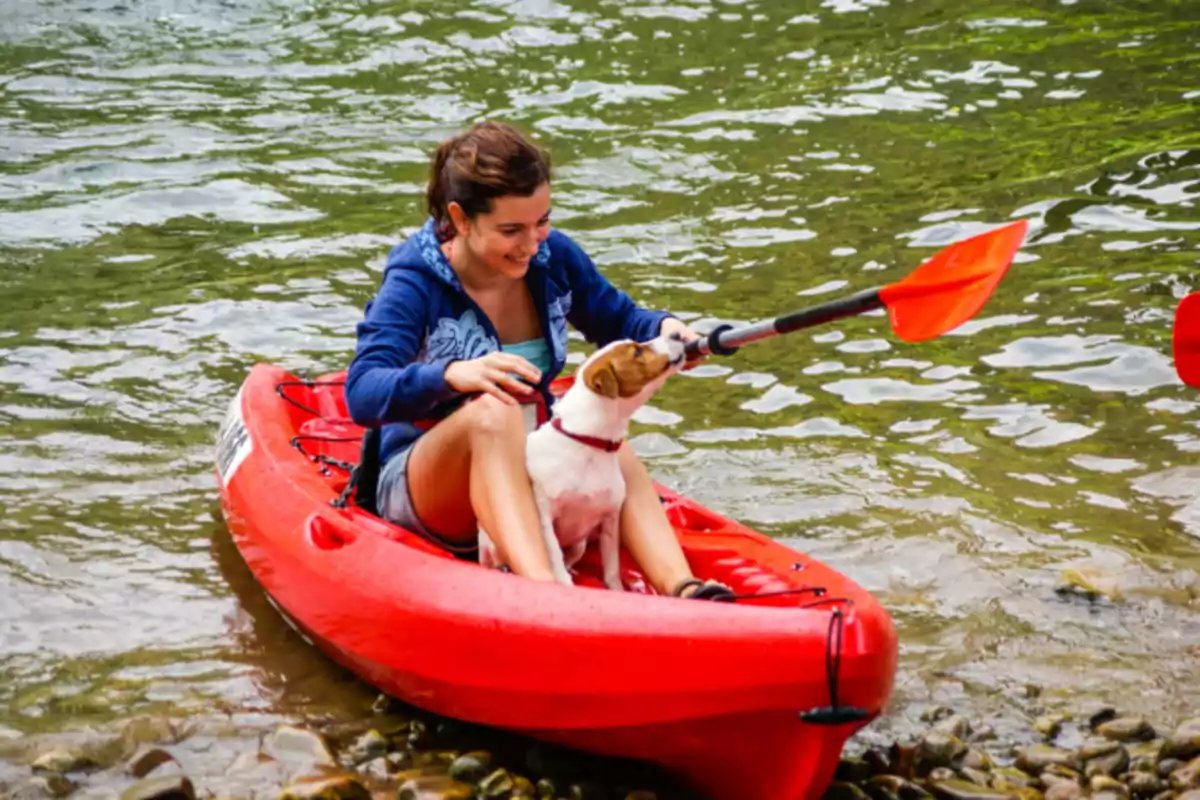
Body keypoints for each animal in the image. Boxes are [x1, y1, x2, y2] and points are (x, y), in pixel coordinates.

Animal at [475, 331, 686, 587]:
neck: (587, 444)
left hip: (580, 543)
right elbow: (554, 558)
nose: (676, 333)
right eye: (636, 351)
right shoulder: (545, 515)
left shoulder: (610, 519)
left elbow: (612, 569)